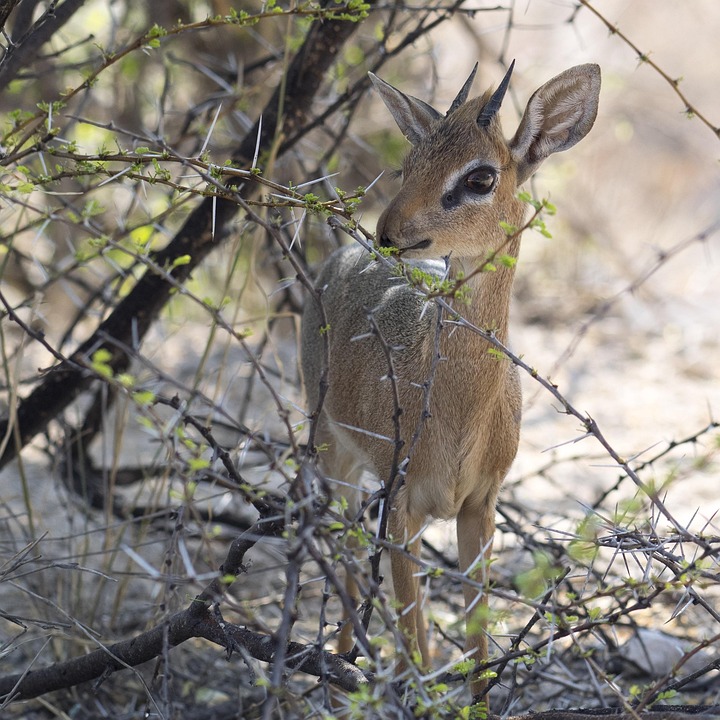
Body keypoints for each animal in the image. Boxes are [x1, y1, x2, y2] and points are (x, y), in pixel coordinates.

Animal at [300, 63, 600, 696]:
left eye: (480, 177)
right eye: (410, 162)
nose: (389, 231)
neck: (460, 411)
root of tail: (335, 260)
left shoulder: (479, 506)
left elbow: (478, 641)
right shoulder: (401, 502)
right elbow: (414, 631)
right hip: (333, 453)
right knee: (345, 551)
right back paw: (340, 667)